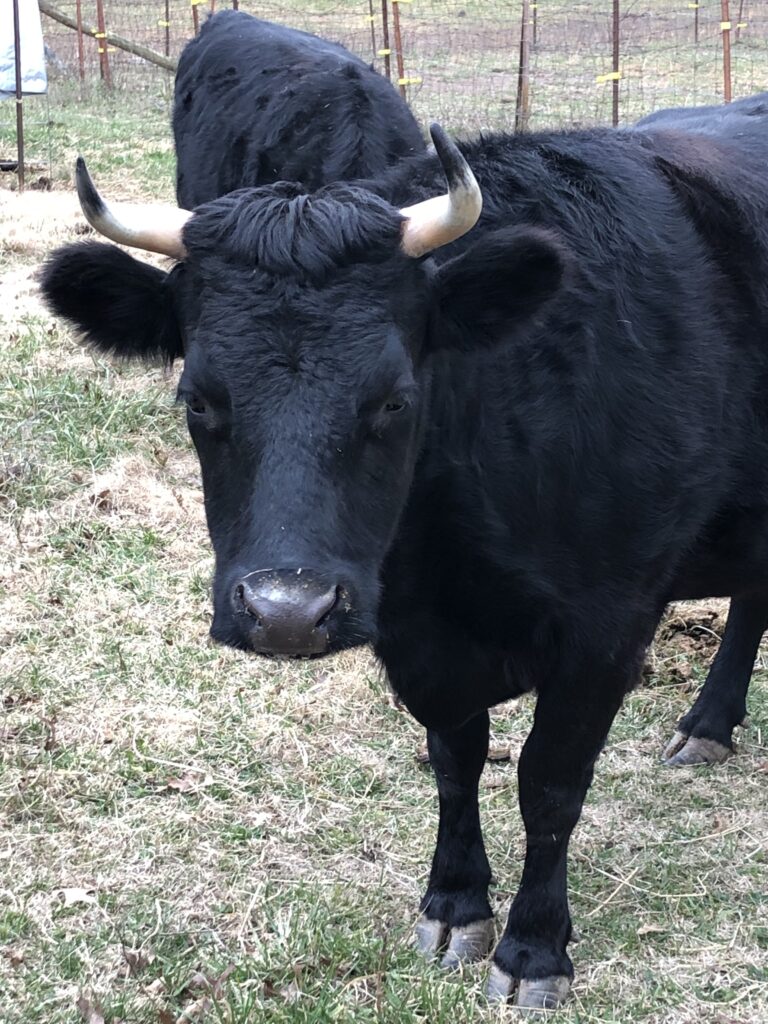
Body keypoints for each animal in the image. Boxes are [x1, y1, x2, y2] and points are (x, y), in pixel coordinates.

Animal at [40, 113, 768, 1010]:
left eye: (394, 398)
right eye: (198, 398)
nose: (287, 612)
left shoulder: (609, 625)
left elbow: (550, 782)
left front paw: (535, 948)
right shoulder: (417, 635)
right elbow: (455, 761)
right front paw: (453, 904)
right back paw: (710, 724)